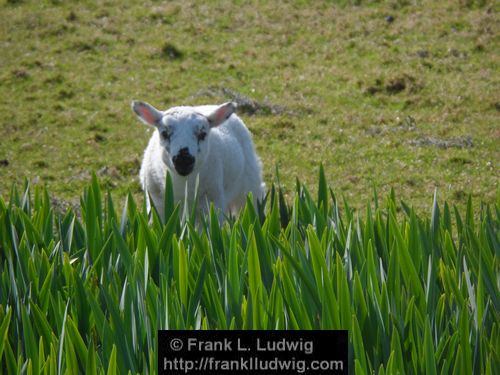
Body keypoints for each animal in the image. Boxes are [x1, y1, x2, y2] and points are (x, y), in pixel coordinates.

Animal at [132, 101, 266, 222]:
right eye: (164, 133)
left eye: (202, 134)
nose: (183, 160)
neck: (183, 185)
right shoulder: (157, 205)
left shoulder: (211, 207)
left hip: (249, 185)